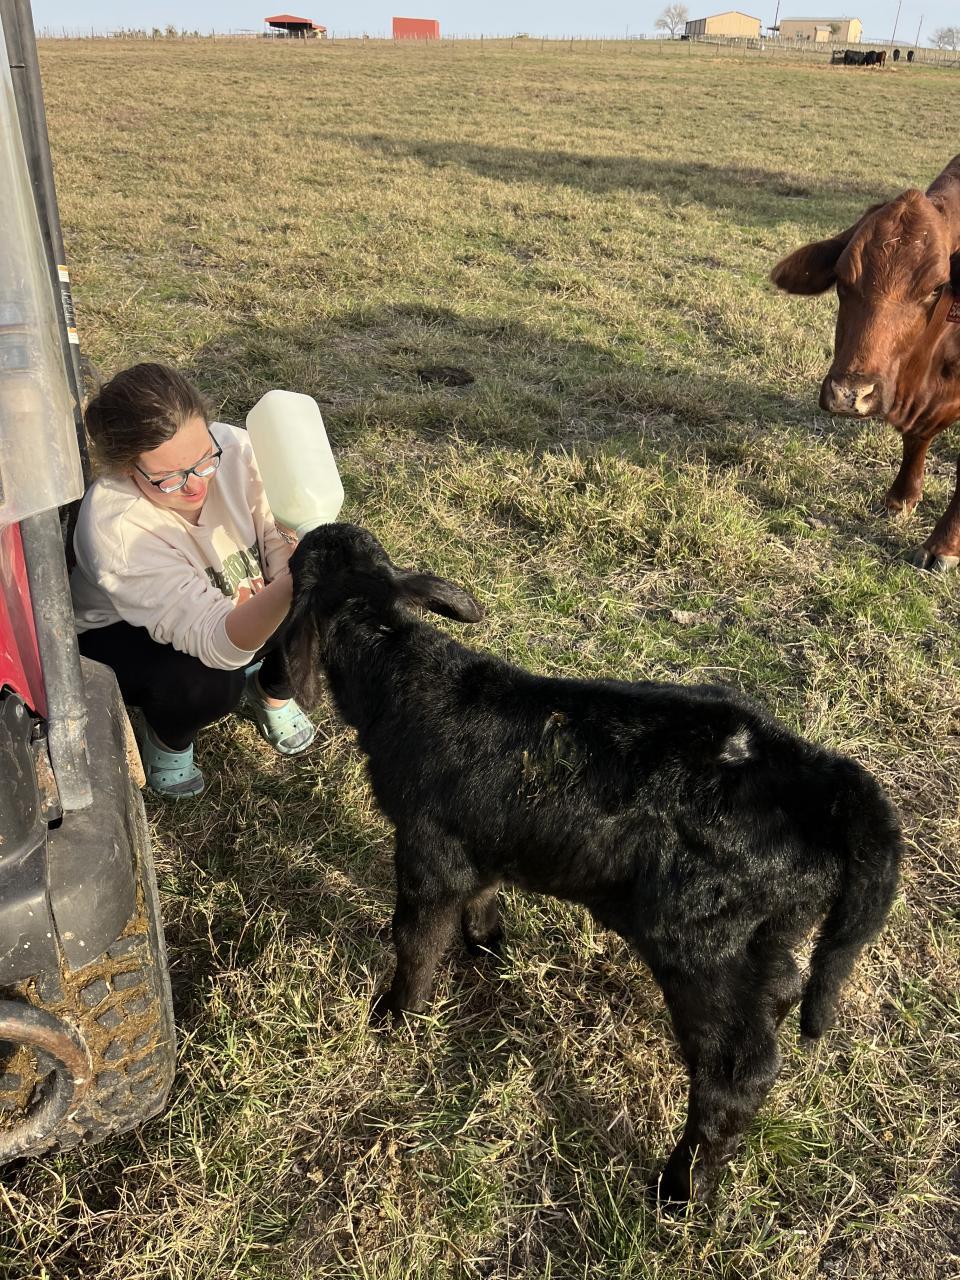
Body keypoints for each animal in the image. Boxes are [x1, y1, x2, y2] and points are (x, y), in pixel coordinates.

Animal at [771, 156, 960, 571]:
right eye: (842, 279)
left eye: (936, 289)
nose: (850, 393)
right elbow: (915, 440)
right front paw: (902, 497)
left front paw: (944, 545)